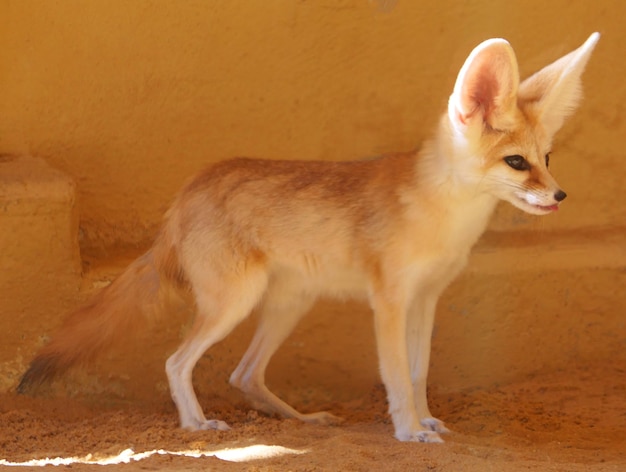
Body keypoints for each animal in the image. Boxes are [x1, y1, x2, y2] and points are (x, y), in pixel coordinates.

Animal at [17, 33, 596, 442]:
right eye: (516, 163)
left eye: (546, 158)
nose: (561, 195)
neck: (442, 216)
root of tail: (187, 192)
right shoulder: (389, 301)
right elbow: (396, 376)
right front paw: (408, 431)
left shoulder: (426, 299)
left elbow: (419, 372)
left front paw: (426, 421)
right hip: (236, 304)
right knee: (177, 362)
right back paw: (195, 426)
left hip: (289, 305)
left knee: (244, 376)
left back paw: (301, 419)